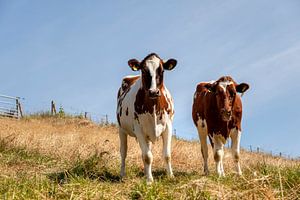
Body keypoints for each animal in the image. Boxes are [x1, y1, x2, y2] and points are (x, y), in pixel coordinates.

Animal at [117, 52, 177, 183]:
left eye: (162, 70)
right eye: (144, 70)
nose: (153, 92)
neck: (153, 107)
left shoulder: (168, 127)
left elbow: (167, 155)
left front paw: (170, 176)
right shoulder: (138, 129)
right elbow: (147, 156)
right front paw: (149, 180)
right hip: (122, 130)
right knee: (123, 153)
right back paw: (122, 175)